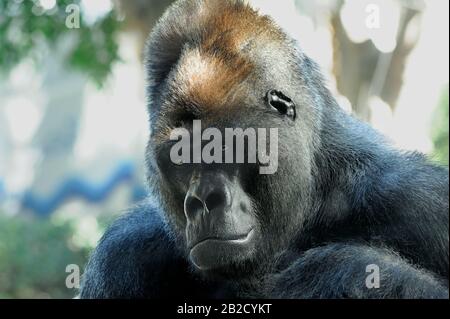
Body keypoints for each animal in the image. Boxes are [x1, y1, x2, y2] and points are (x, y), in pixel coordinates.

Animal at [79, 0, 448, 300]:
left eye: (223, 146)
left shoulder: (418, 199)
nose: (202, 200)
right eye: (179, 159)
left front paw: (346, 272)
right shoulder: (124, 251)